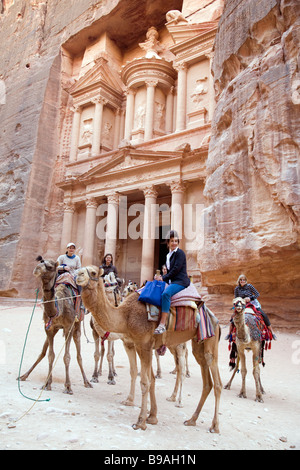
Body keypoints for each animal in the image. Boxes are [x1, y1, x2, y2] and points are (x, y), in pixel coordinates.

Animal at [19, 258, 91, 394]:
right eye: (41, 261)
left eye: (50, 266)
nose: (36, 269)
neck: (59, 308)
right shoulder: (49, 328)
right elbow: (50, 355)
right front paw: (47, 384)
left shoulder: (68, 327)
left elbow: (67, 357)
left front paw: (68, 386)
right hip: (55, 329)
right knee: (43, 352)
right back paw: (24, 375)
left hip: (77, 324)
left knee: (79, 353)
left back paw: (87, 382)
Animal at [76, 266, 221, 432]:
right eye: (80, 269)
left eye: (93, 272)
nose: (78, 275)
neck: (125, 316)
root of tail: (215, 318)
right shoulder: (131, 344)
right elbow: (139, 375)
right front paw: (148, 414)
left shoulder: (144, 345)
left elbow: (145, 381)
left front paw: (141, 421)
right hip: (198, 344)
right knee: (206, 381)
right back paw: (191, 420)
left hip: (209, 341)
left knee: (215, 381)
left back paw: (214, 425)